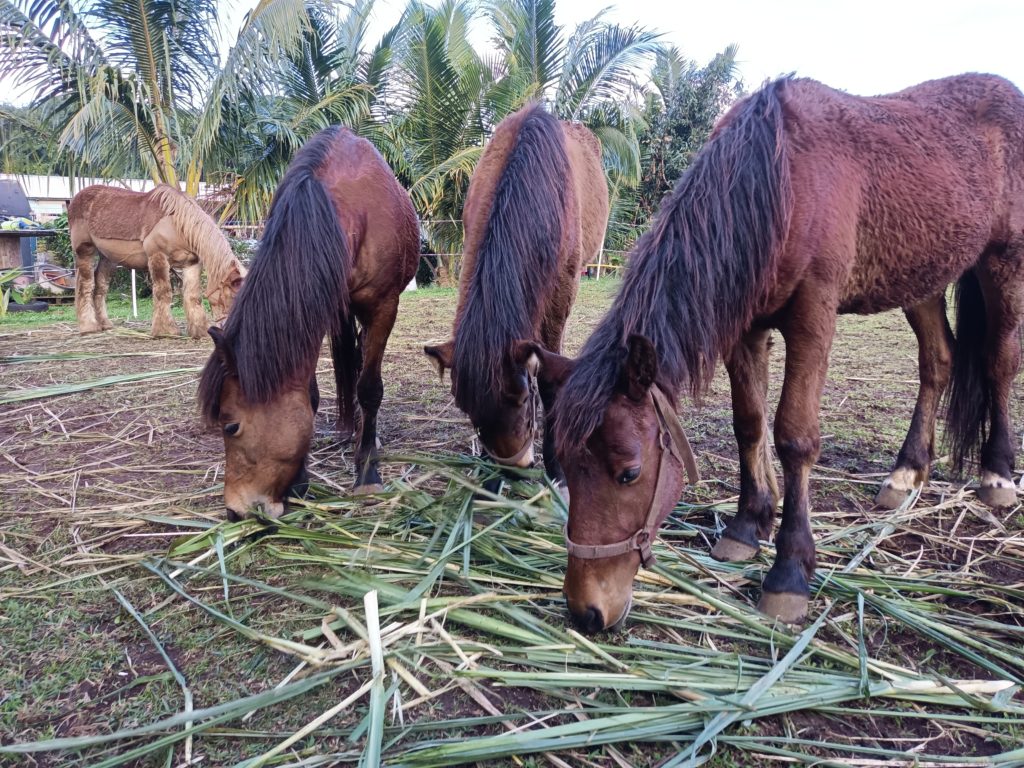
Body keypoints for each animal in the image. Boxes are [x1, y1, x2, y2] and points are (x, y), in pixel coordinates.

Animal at [68, 184, 246, 338]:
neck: (177, 223)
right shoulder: (157, 256)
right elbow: (163, 292)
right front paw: (166, 330)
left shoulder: (192, 264)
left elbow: (193, 296)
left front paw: (199, 330)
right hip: (85, 251)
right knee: (85, 285)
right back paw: (89, 327)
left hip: (108, 258)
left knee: (101, 286)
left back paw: (105, 324)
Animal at [198, 126, 419, 520]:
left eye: (231, 425)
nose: (234, 511)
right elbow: (311, 396)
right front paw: (300, 481)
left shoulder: (383, 307)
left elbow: (370, 388)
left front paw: (367, 474)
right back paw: (349, 428)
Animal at [423, 104, 609, 485]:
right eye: (465, 407)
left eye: (521, 399)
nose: (514, 469)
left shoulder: (561, 293)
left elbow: (549, 380)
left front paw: (557, 470)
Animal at [523, 73, 1024, 632]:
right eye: (565, 465)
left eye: (629, 473)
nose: (586, 610)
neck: (778, 178)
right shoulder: (745, 328)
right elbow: (749, 423)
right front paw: (746, 525)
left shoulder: (812, 319)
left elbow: (793, 436)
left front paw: (789, 571)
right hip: (922, 282)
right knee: (938, 362)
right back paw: (906, 472)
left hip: (1004, 263)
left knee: (1000, 363)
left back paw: (997, 474)